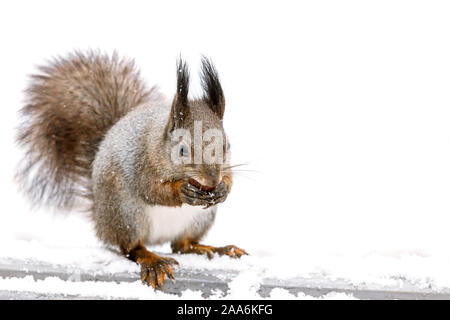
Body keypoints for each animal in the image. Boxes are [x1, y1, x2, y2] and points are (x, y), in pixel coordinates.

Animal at [15, 50, 246, 290]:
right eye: (182, 150)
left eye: (227, 146)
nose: (212, 179)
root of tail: (100, 219)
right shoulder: (142, 163)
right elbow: (152, 190)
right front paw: (181, 190)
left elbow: (230, 177)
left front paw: (223, 188)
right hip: (127, 214)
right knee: (131, 248)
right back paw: (153, 261)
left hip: (199, 219)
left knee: (182, 245)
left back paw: (218, 249)